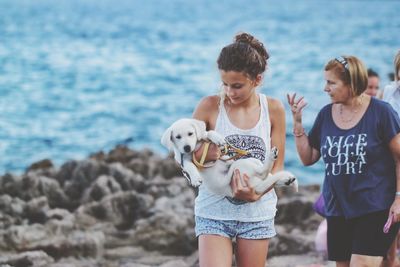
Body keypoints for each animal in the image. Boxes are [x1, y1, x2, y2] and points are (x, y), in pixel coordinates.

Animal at [160, 119, 296, 197]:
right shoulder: (183, 159)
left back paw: (284, 177)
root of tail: (254, 186)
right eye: (177, 137)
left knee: (267, 176)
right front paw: (195, 179)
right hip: (239, 166)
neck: (195, 147)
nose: (187, 147)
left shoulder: (203, 138)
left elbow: (208, 133)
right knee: (264, 175)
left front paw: (217, 138)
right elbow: (190, 167)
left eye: (190, 133)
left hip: (249, 161)